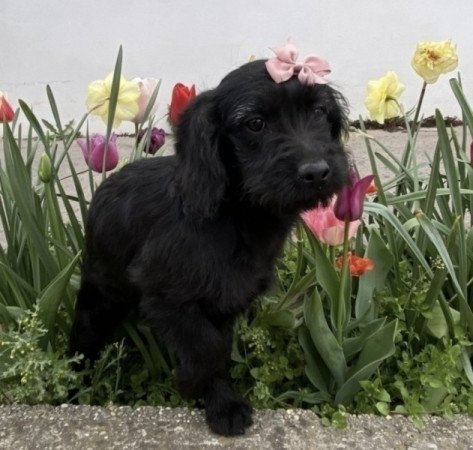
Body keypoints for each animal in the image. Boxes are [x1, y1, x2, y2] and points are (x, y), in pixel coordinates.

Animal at [71, 57, 350, 436]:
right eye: (255, 123)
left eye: (320, 111)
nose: (317, 171)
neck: (236, 215)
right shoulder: (166, 295)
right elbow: (207, 348)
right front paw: (195, 386)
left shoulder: (225, 299)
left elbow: (218, 347)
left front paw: (220, 401)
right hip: (101, 295)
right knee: (82, 338)